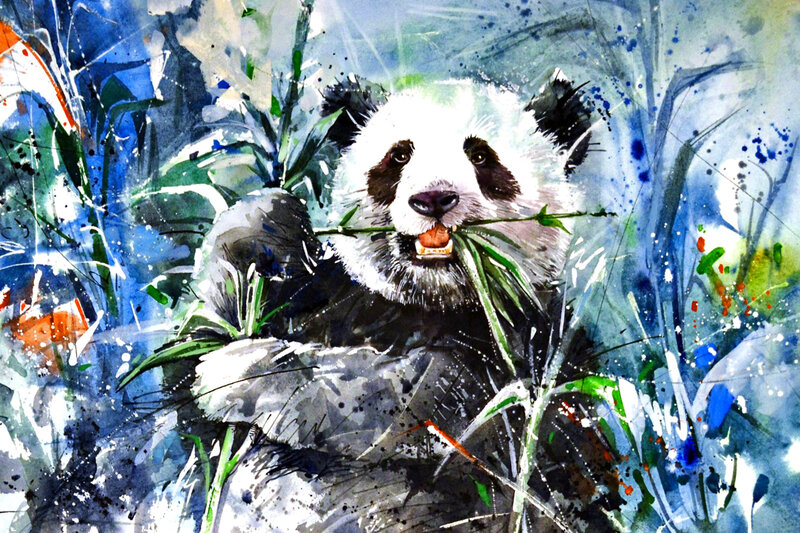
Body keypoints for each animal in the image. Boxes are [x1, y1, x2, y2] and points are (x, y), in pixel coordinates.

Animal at [182, 73, 622, 532]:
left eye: (481, 155)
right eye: (399, 155)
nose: (433, 199)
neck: (428, 299)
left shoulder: (521, 348)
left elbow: (399, 401)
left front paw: (234, 375)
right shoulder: (334, 295)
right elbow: (198, 338)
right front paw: (276, 219)